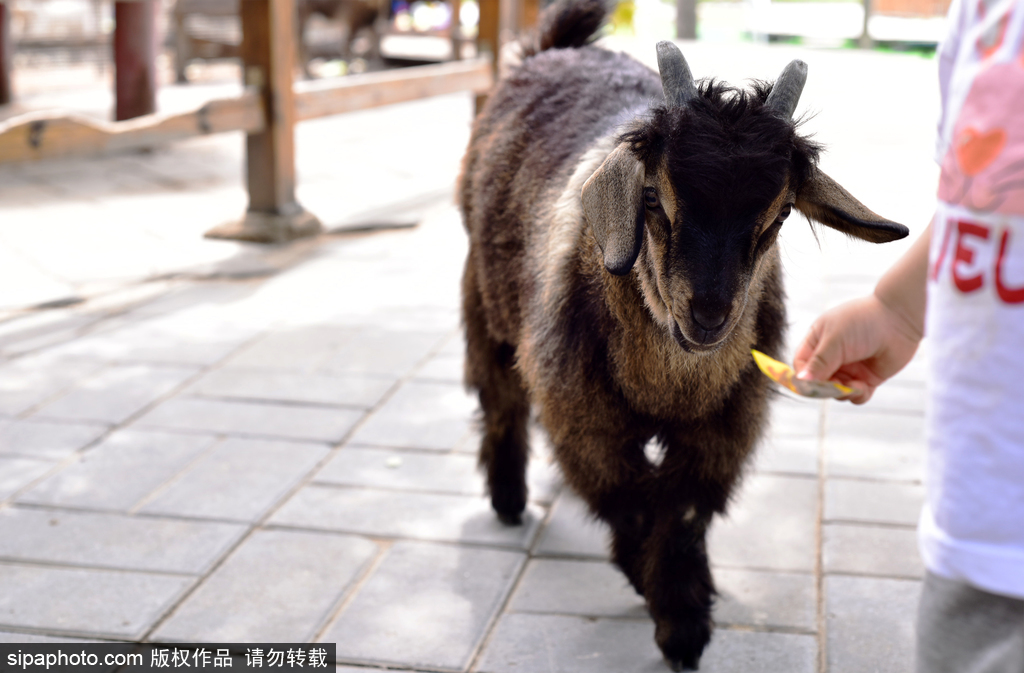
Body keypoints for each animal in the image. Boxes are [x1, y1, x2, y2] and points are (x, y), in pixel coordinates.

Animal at [460, 0, 909, 667]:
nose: (709, 316)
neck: (667, 386)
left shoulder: (722, 424)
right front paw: (653, 589)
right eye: (653, 199)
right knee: (500, 394)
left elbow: (682, 512)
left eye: (780, 215)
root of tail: (555, 49)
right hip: (483, 294)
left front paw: (684, 623)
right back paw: (510, 498)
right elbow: (629, 505)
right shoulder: (587, 417)